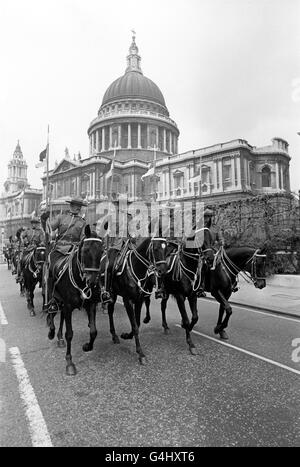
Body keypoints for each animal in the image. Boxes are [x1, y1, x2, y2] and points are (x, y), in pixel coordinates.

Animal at [45, 227, 104, 376]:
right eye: (85, 250)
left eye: (102, 251)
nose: (92, 282)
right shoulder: (68, 306)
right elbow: (70, 334)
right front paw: (69, 363)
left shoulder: (90, 305)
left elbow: (93, 331)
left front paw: (87, 346)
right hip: (53, 296)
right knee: (51, 312)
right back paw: (52, 333)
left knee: (60, 318)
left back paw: (59, 338)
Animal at [99, 238, 169, 366]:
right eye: (156, 248)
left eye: (166, 248)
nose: (163, 270)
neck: (137, 268)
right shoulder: (128, 300)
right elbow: (135, 325)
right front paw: (140, 353)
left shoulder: (139, 300)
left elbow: (137, 323)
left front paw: (127, 335)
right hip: (112, 293)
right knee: (110, 311)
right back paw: (114, 335)